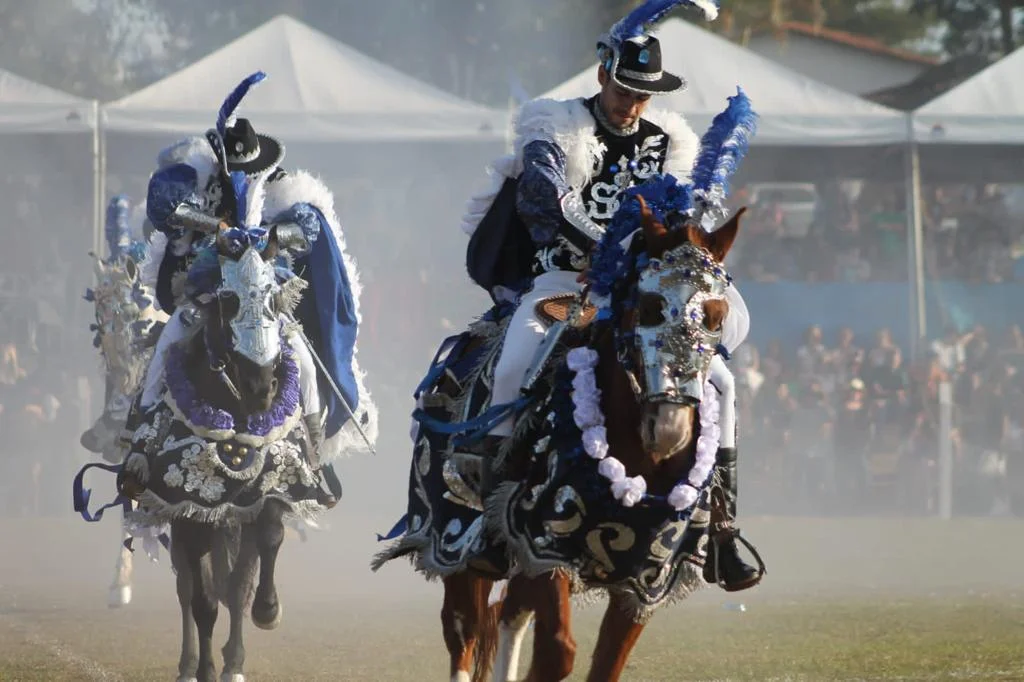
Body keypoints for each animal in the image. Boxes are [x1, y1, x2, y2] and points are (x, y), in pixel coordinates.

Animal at [119, 228, 327, 679]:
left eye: (273, 299)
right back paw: (189, 665)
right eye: (227, 300)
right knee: (188, 589)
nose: (262, 386)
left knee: (235, 584)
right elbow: (203, 600)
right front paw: (206, 668)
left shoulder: (267, 490)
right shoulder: (192, 507)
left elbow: (262, 551)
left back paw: (234, 659)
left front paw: (267, 611)